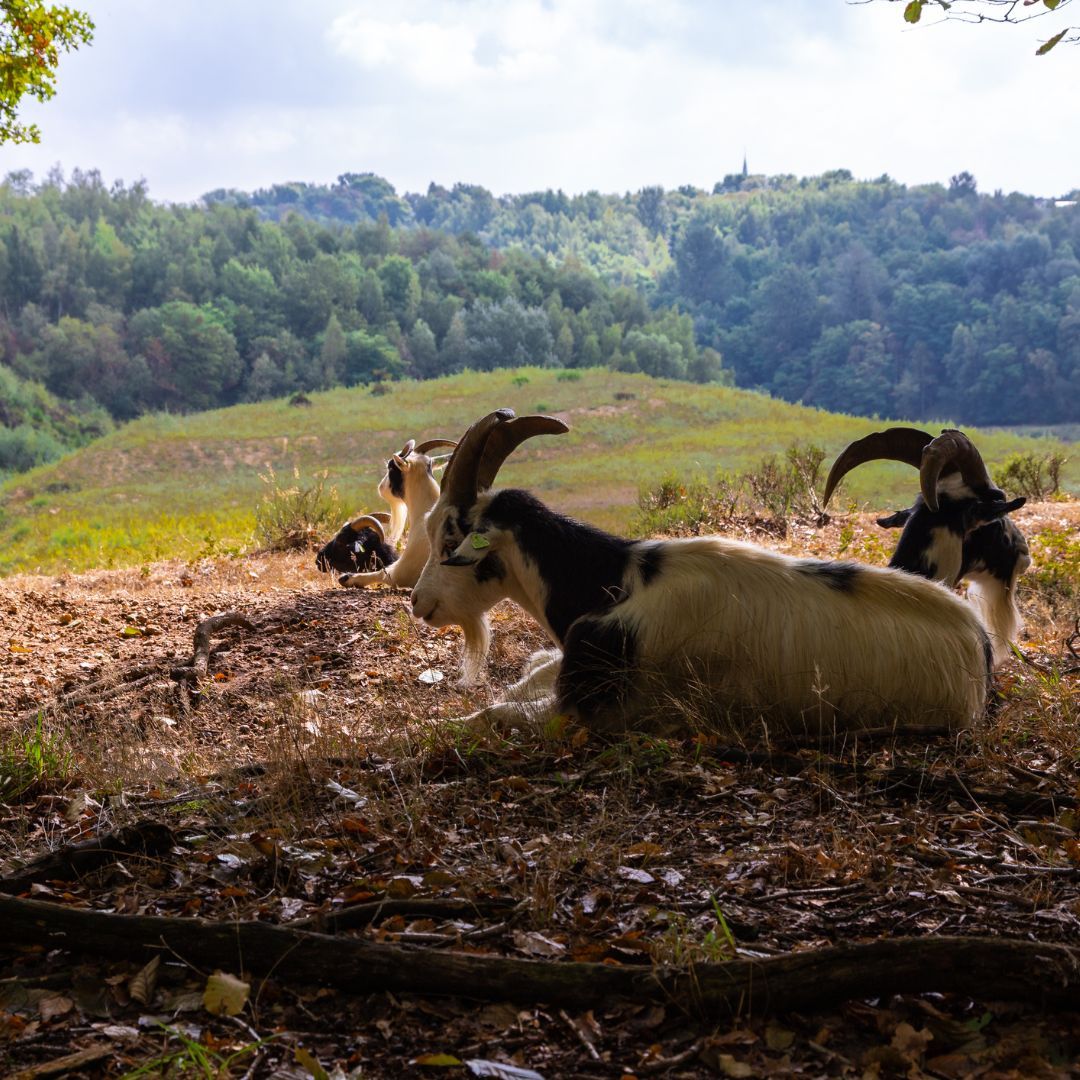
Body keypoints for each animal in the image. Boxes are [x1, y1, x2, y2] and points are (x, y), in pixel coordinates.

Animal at [410, 408, 993, 738]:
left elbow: (490, 715)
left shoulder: (593, 707)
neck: (616, 577)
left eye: (450, 536)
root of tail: (977, 645)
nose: (418, 603)